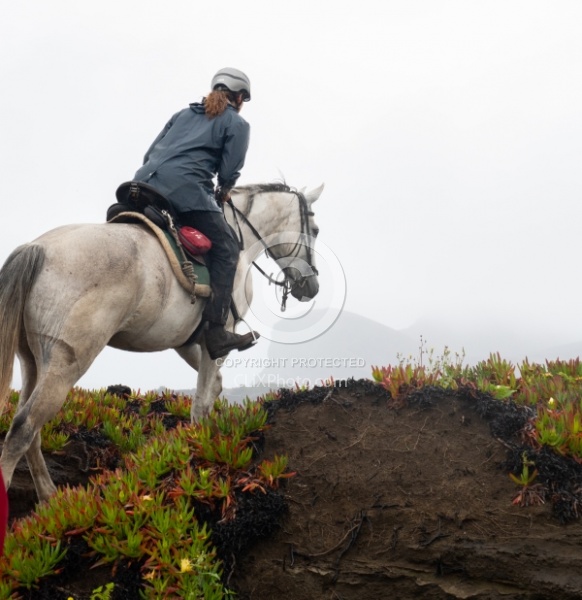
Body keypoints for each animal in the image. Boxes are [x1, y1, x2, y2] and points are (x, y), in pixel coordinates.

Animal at [0, 183, 324, 502]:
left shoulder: (185, 341)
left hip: (34, 362)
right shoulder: (218, 336)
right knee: (22, 430)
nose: (312, 287)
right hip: (66, 363)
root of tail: (38, 248)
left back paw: (49, 499)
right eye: (316, 230)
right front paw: (200, 457)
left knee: (27, 427)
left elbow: (214, 386)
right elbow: (202, 401)